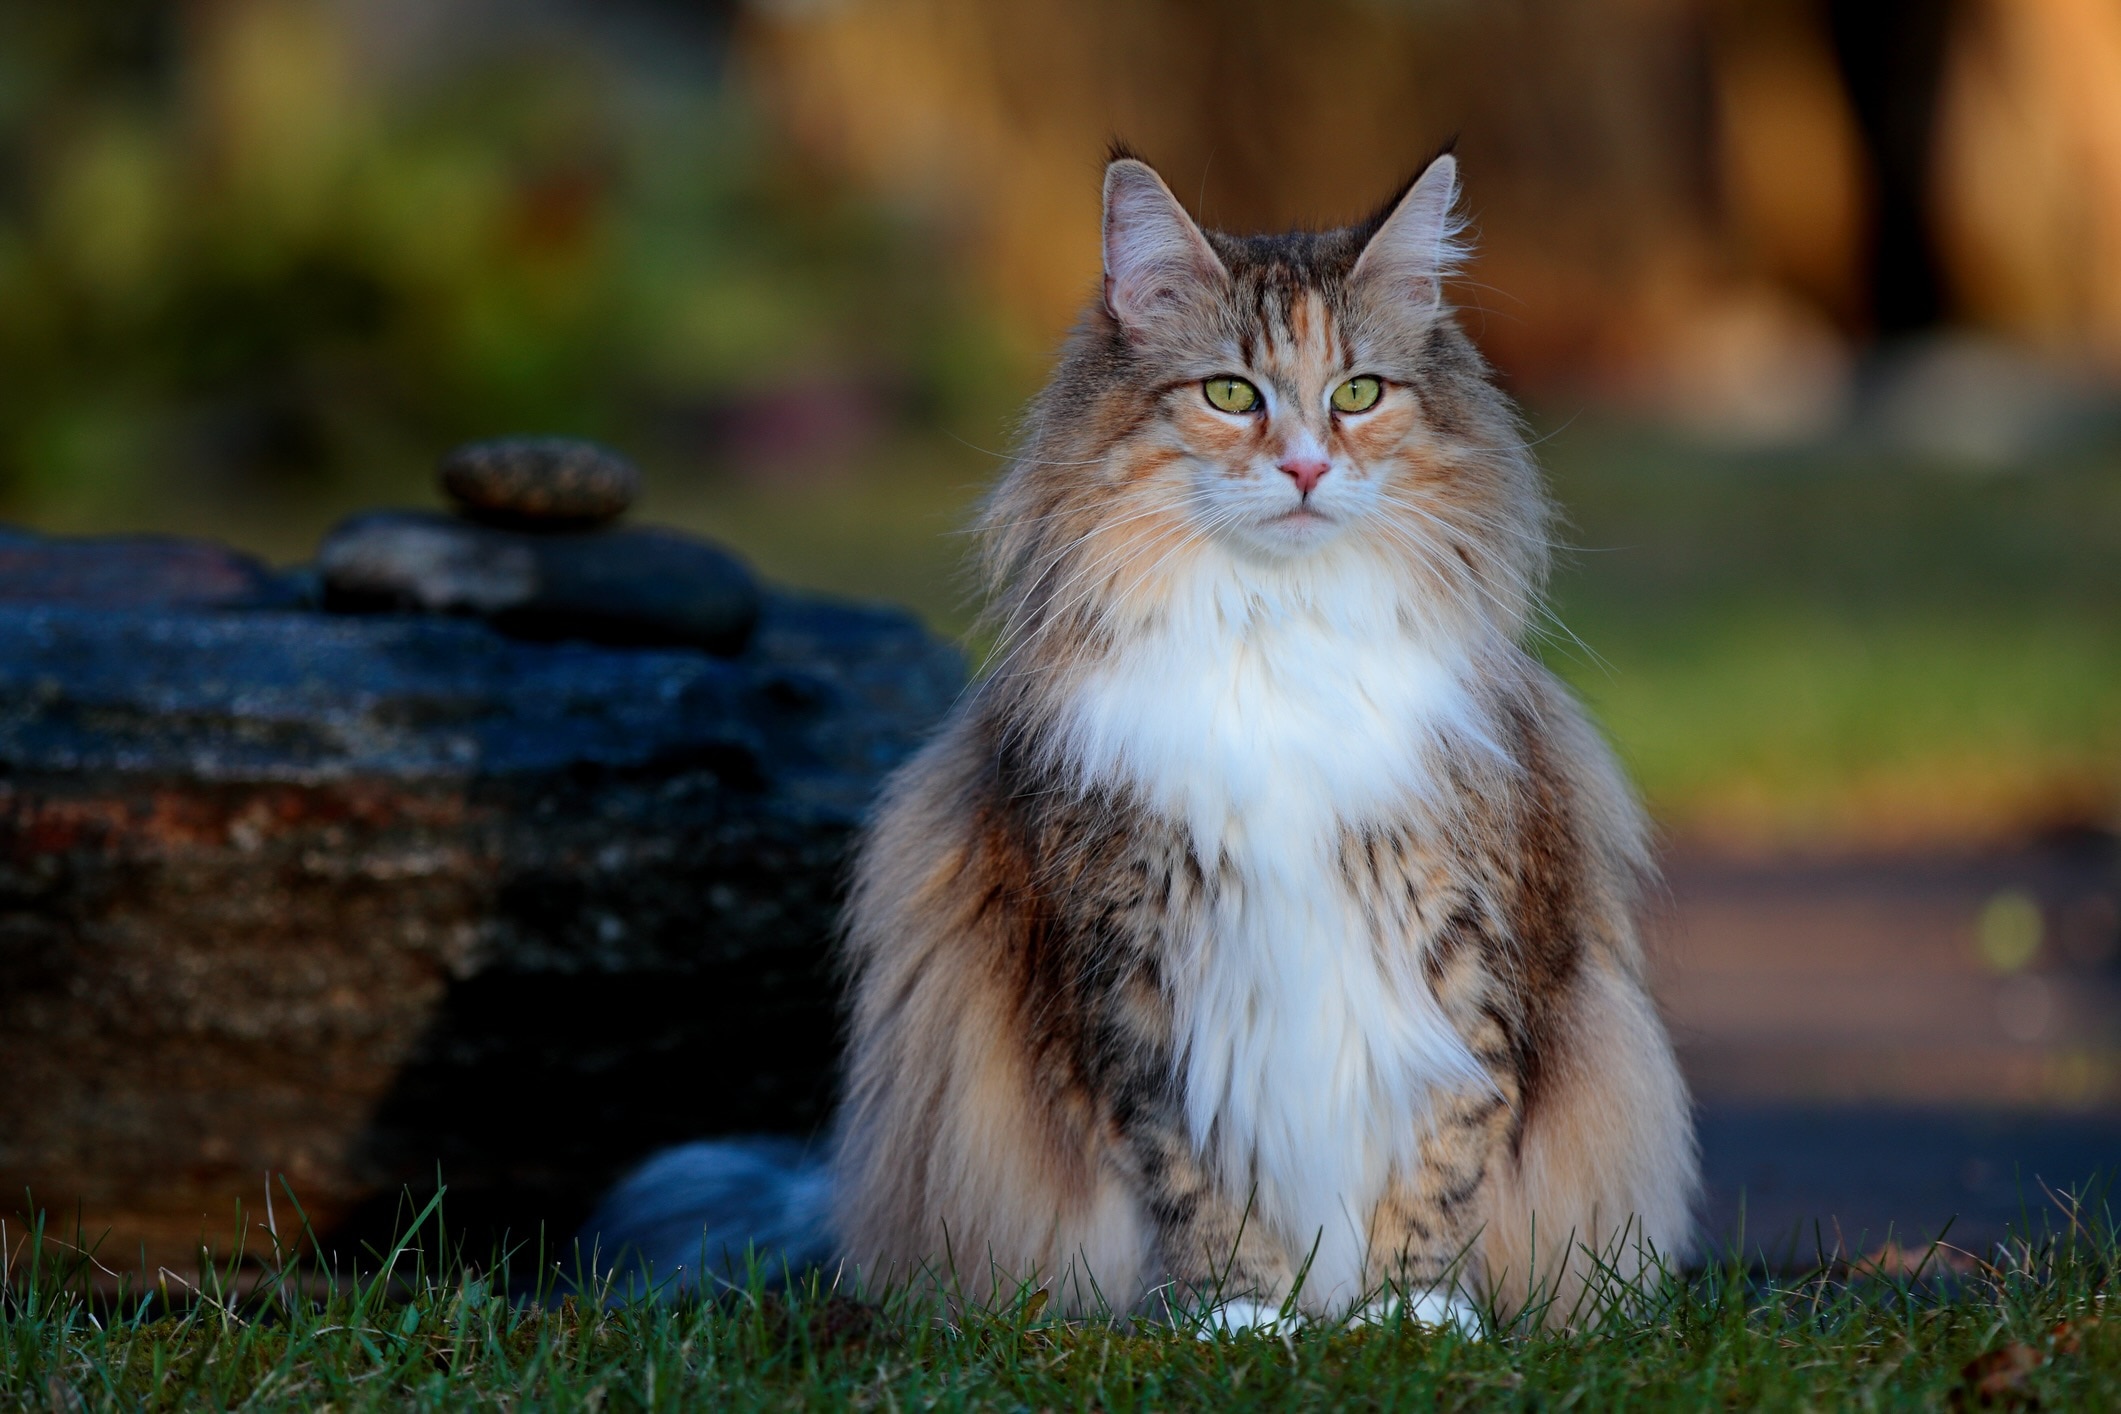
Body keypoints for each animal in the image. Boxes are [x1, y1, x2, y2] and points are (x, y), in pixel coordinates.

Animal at [589, 149, 1696, 1331]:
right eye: (1230, 394)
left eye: (1357, 394)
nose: (1306, 468)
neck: (1275, 640)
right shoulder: (1136, 971)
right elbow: (1197, 1181)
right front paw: (1246, 1321)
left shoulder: (1462, 949)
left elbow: (1445, 1153)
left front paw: (1410, 1316)